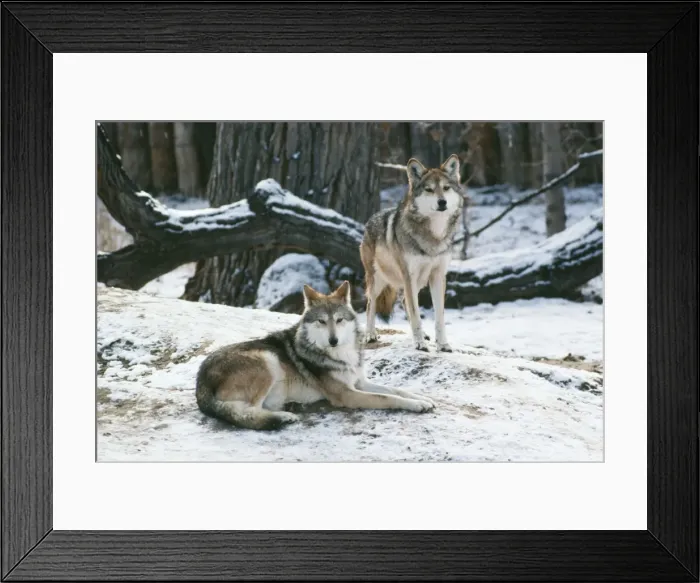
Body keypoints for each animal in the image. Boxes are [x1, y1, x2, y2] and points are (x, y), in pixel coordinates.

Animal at [195, 281, 436, 430]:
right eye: (321, 321)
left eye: (339, 320)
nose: (333, 340)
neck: (341, 355)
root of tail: (200, 382)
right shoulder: (347, 395)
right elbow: (388, 398)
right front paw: (415, 405)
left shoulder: (359, 382)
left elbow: (397, 390)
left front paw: (423, 399)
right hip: (268, 360)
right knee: (247, 412)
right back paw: (285, 416)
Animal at [360, 154, 464, 352]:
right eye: (429, 190)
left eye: (446, 188)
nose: (442, 202)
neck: (433, 235)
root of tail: (369, 220)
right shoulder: (409, 276)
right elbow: (415, 313)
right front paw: (420, 344)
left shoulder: (438, 276)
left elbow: (439, 316)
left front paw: (442, 344)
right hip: (379, 280)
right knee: (371, 304)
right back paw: (370, 335)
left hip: (418, 282)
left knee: (403, 302)